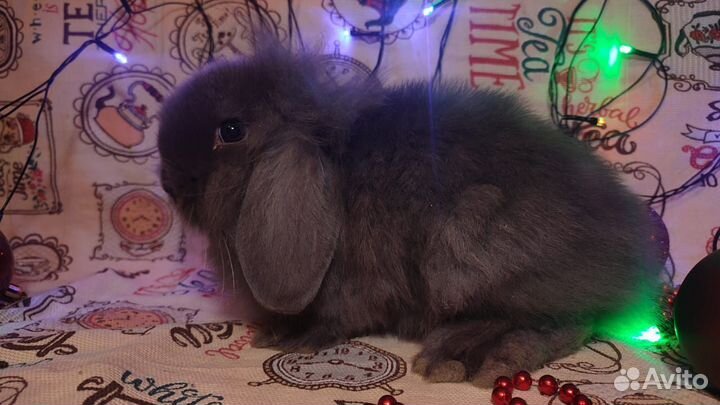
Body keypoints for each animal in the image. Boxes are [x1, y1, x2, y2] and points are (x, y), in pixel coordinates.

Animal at [157, 42, 663, 386]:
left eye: (231, 130)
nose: (167, 184)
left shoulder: (355, 286)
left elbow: (337, 318)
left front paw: (288, 336)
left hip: (469, 250)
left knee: (570, 319)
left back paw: (470, 355)